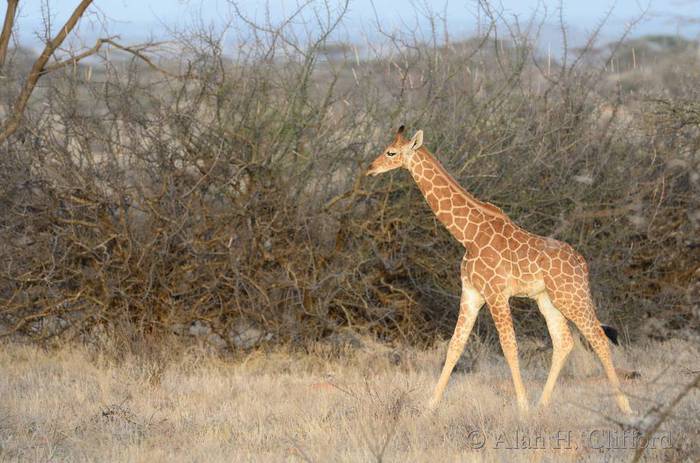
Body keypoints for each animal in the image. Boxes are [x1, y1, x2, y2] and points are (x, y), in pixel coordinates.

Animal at [365, 126, 633, 414]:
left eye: (391, 152)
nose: (370, 168)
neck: (468, 235)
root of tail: (583, 264)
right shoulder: (471, 293)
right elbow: (455, 345)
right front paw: (429, 407)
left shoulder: (496, 294)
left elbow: (509, 346)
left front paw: (522, 408)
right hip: (548, 299)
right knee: (564, 341)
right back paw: (543, 405)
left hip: (571, 296)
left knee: (598, 337)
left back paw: (625, 407)